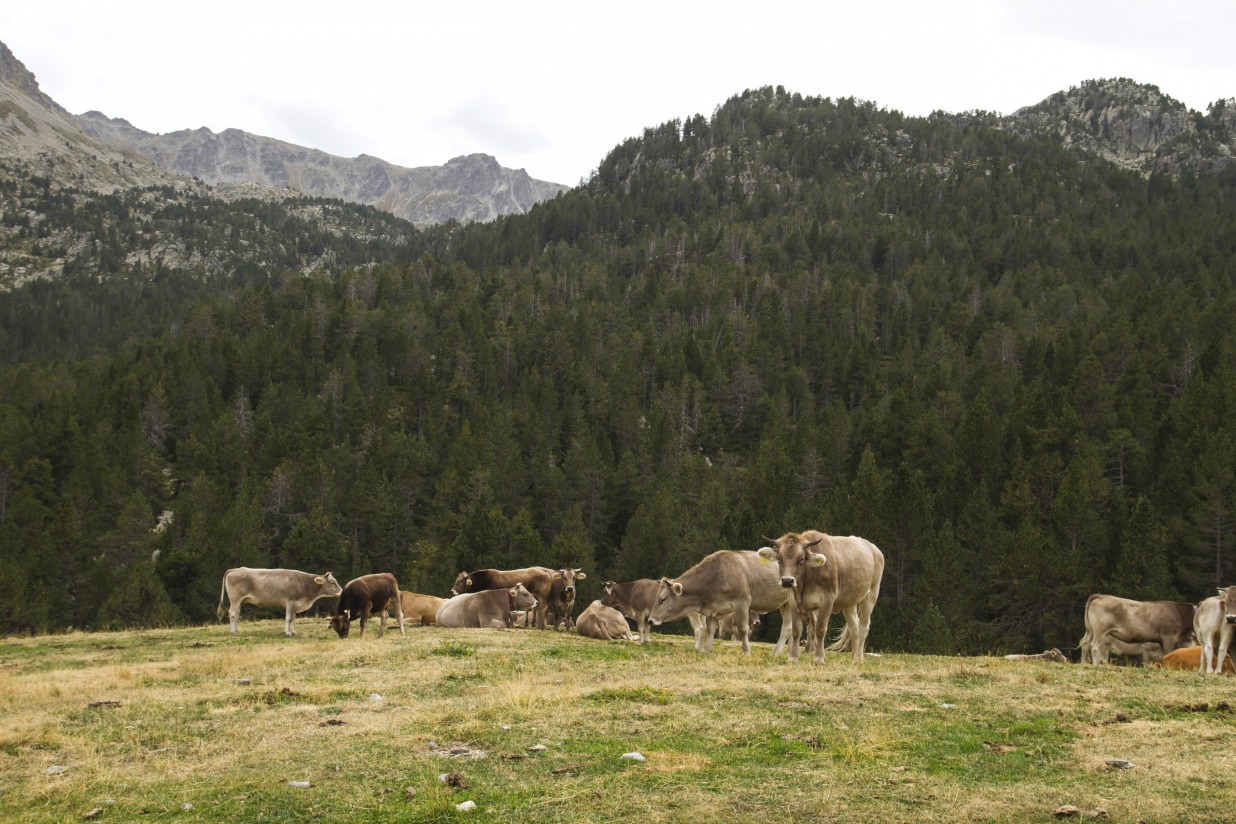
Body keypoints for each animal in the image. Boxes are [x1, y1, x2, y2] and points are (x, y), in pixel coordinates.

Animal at [642, 550, 795, 662]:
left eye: (663, 599)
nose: (651, 620)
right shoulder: (714, 608)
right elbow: (710, 629)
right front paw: (706, 649)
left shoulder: (742, 602)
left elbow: (743, 629)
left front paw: (746, 651)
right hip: (785, 604)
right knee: (788, 628)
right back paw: (784, 653)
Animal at [756, 536, 884, 662]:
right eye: (779, 558)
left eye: (801, 559)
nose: (787, 581)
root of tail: (874, 548)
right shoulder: (793, 602)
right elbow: (796, 630)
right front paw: (793, 658)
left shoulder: (827, 601)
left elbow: (820, 629)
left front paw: (819, 658)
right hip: (849, 602)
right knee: (854, 628)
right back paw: (853, 659)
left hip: (871, 594)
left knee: (863, 626)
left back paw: (858, 659)